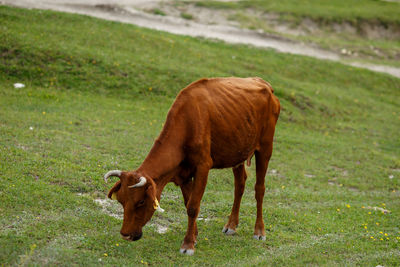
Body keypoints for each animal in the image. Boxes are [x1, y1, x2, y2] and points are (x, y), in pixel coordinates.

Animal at [103, 77, 280, 255]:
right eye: (121, 201)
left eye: (140, 202)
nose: (125, 234)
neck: (187, 122)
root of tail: (263, 83)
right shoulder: (183, 174)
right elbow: (188, 203)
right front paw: (194, 235)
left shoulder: (203, 167)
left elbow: (194, 206)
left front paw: (188, 244)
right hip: (238, 151)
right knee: (240, 185)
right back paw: (231, 225)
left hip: (266, 148)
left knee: (259, 189)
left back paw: (259, 231)